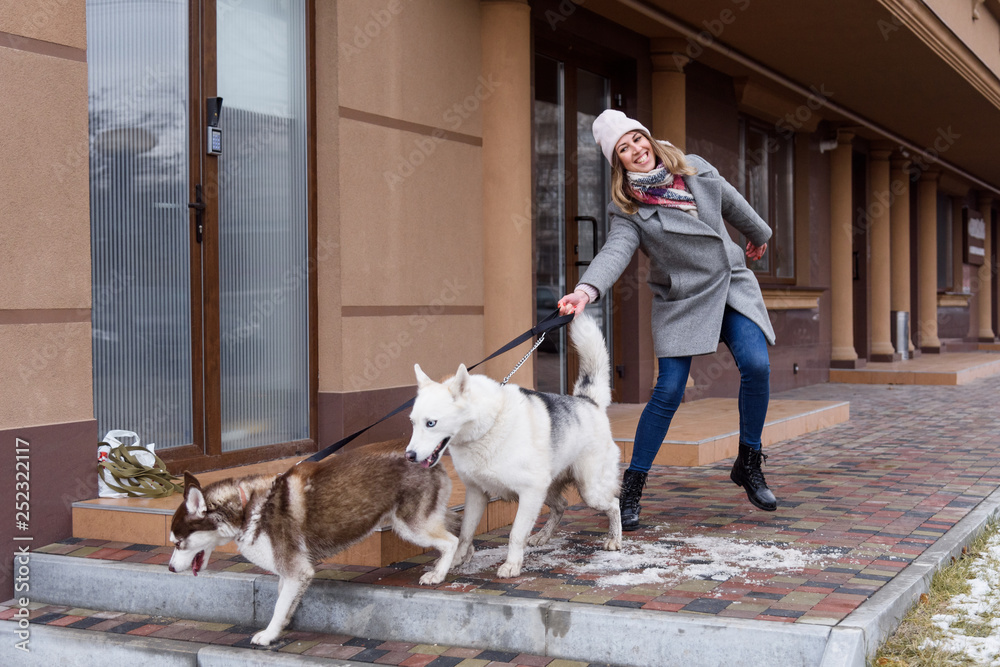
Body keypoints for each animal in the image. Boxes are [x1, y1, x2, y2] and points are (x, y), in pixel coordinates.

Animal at [167, 440, 458, 648]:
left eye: (178, 543)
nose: (169, 569)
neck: (247, 508)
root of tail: (427, 457)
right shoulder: (290, 572)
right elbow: (283, 602)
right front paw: (280, 627)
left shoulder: (297, 570)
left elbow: (278, 606)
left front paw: (268, 635)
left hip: (411, 526)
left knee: (451, 541)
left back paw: (439, 573)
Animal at [402, 314, 620, 580]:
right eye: (413, 423)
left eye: (431, 423)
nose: (409, 456)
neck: (488, 425)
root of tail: (587, 401)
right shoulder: (477, 493)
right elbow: (465, 533)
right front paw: (457, 560)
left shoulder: (529, 492)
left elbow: (516, 533)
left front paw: (512, 565)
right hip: (548, 489)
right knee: (561, 506)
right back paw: (542, 536)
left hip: (589, 490)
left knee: (614, 504)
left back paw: (615, 539)